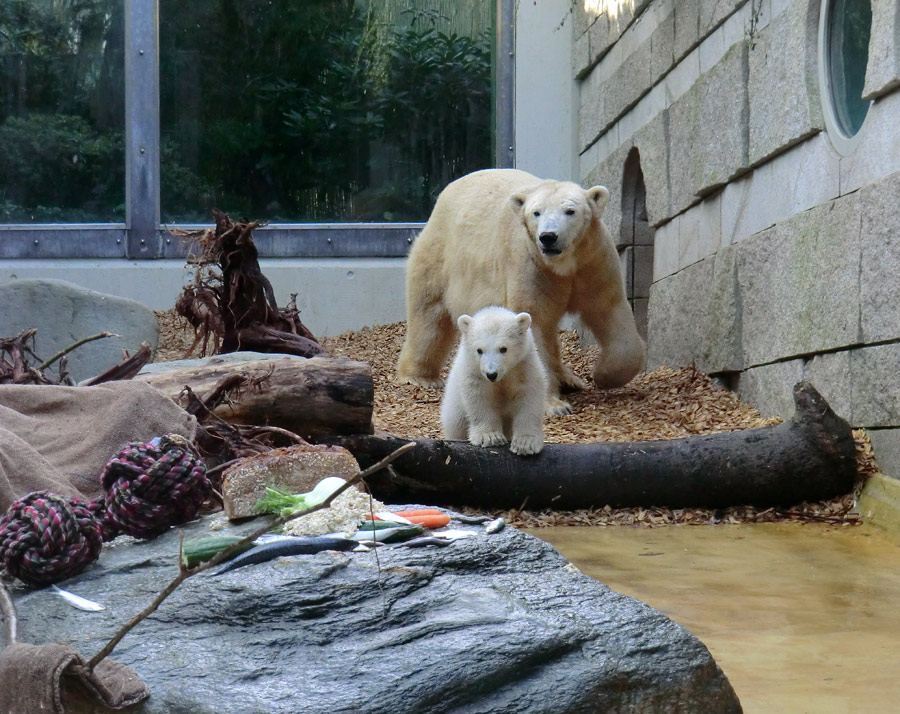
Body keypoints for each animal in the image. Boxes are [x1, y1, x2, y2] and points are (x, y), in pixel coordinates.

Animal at [398, 168, 644, 412]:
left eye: (570, 211)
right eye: (536, 213)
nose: (548, 237)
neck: (563, 266)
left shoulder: (593, 263)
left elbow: (609, 309)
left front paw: (602, 375)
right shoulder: (531, 265)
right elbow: (534, 321)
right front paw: (555, 405)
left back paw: (569, 379)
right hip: (440, 256)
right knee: (429, 315)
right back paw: (421, 377)